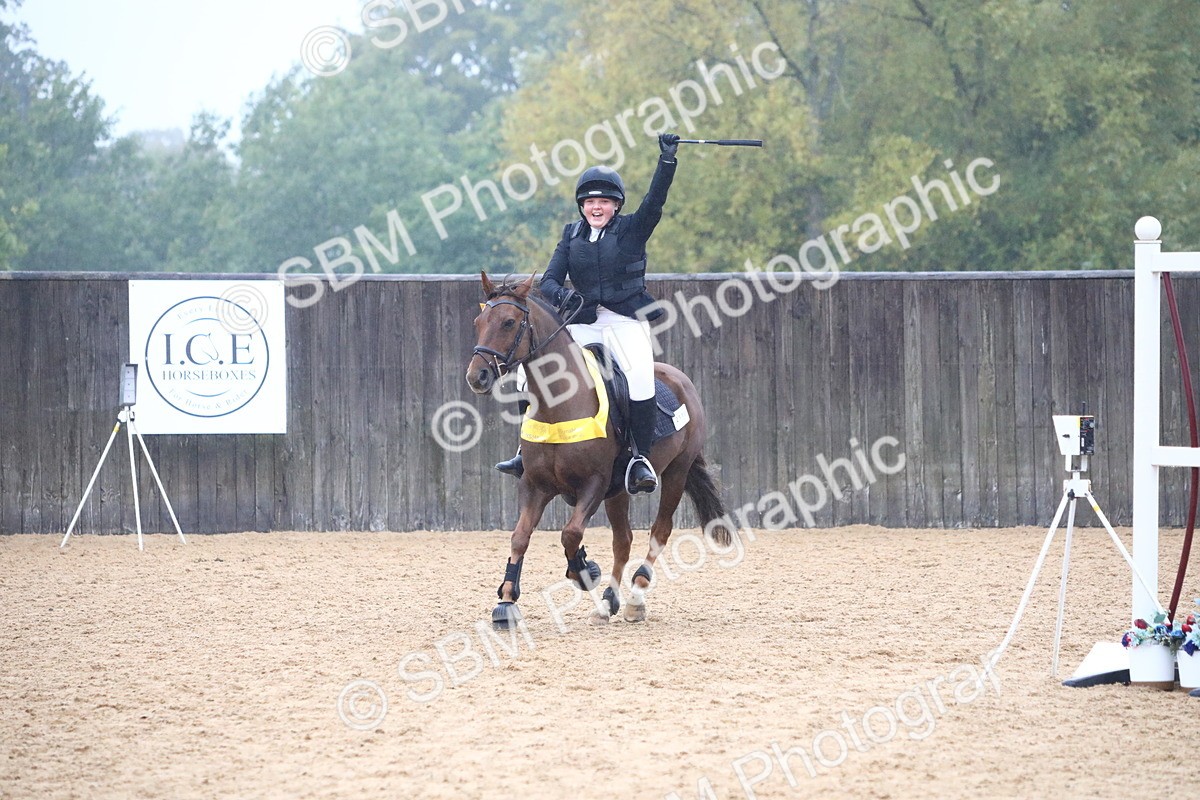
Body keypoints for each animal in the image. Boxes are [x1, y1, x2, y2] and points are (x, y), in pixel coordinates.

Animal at [465, 272, 733, 629]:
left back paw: (635, 598)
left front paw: (584, 571)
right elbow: (521, 537)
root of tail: (681, 380)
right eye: (479, 322)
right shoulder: (535, 485)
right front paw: (506, 602)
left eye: (509, 322)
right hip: (619, 491)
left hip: (676, 471)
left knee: (659, 532)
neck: (559, 405)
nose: (477, 376)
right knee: (624, 541)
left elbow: (570, 533)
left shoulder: (593, 483)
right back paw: (608, 602)